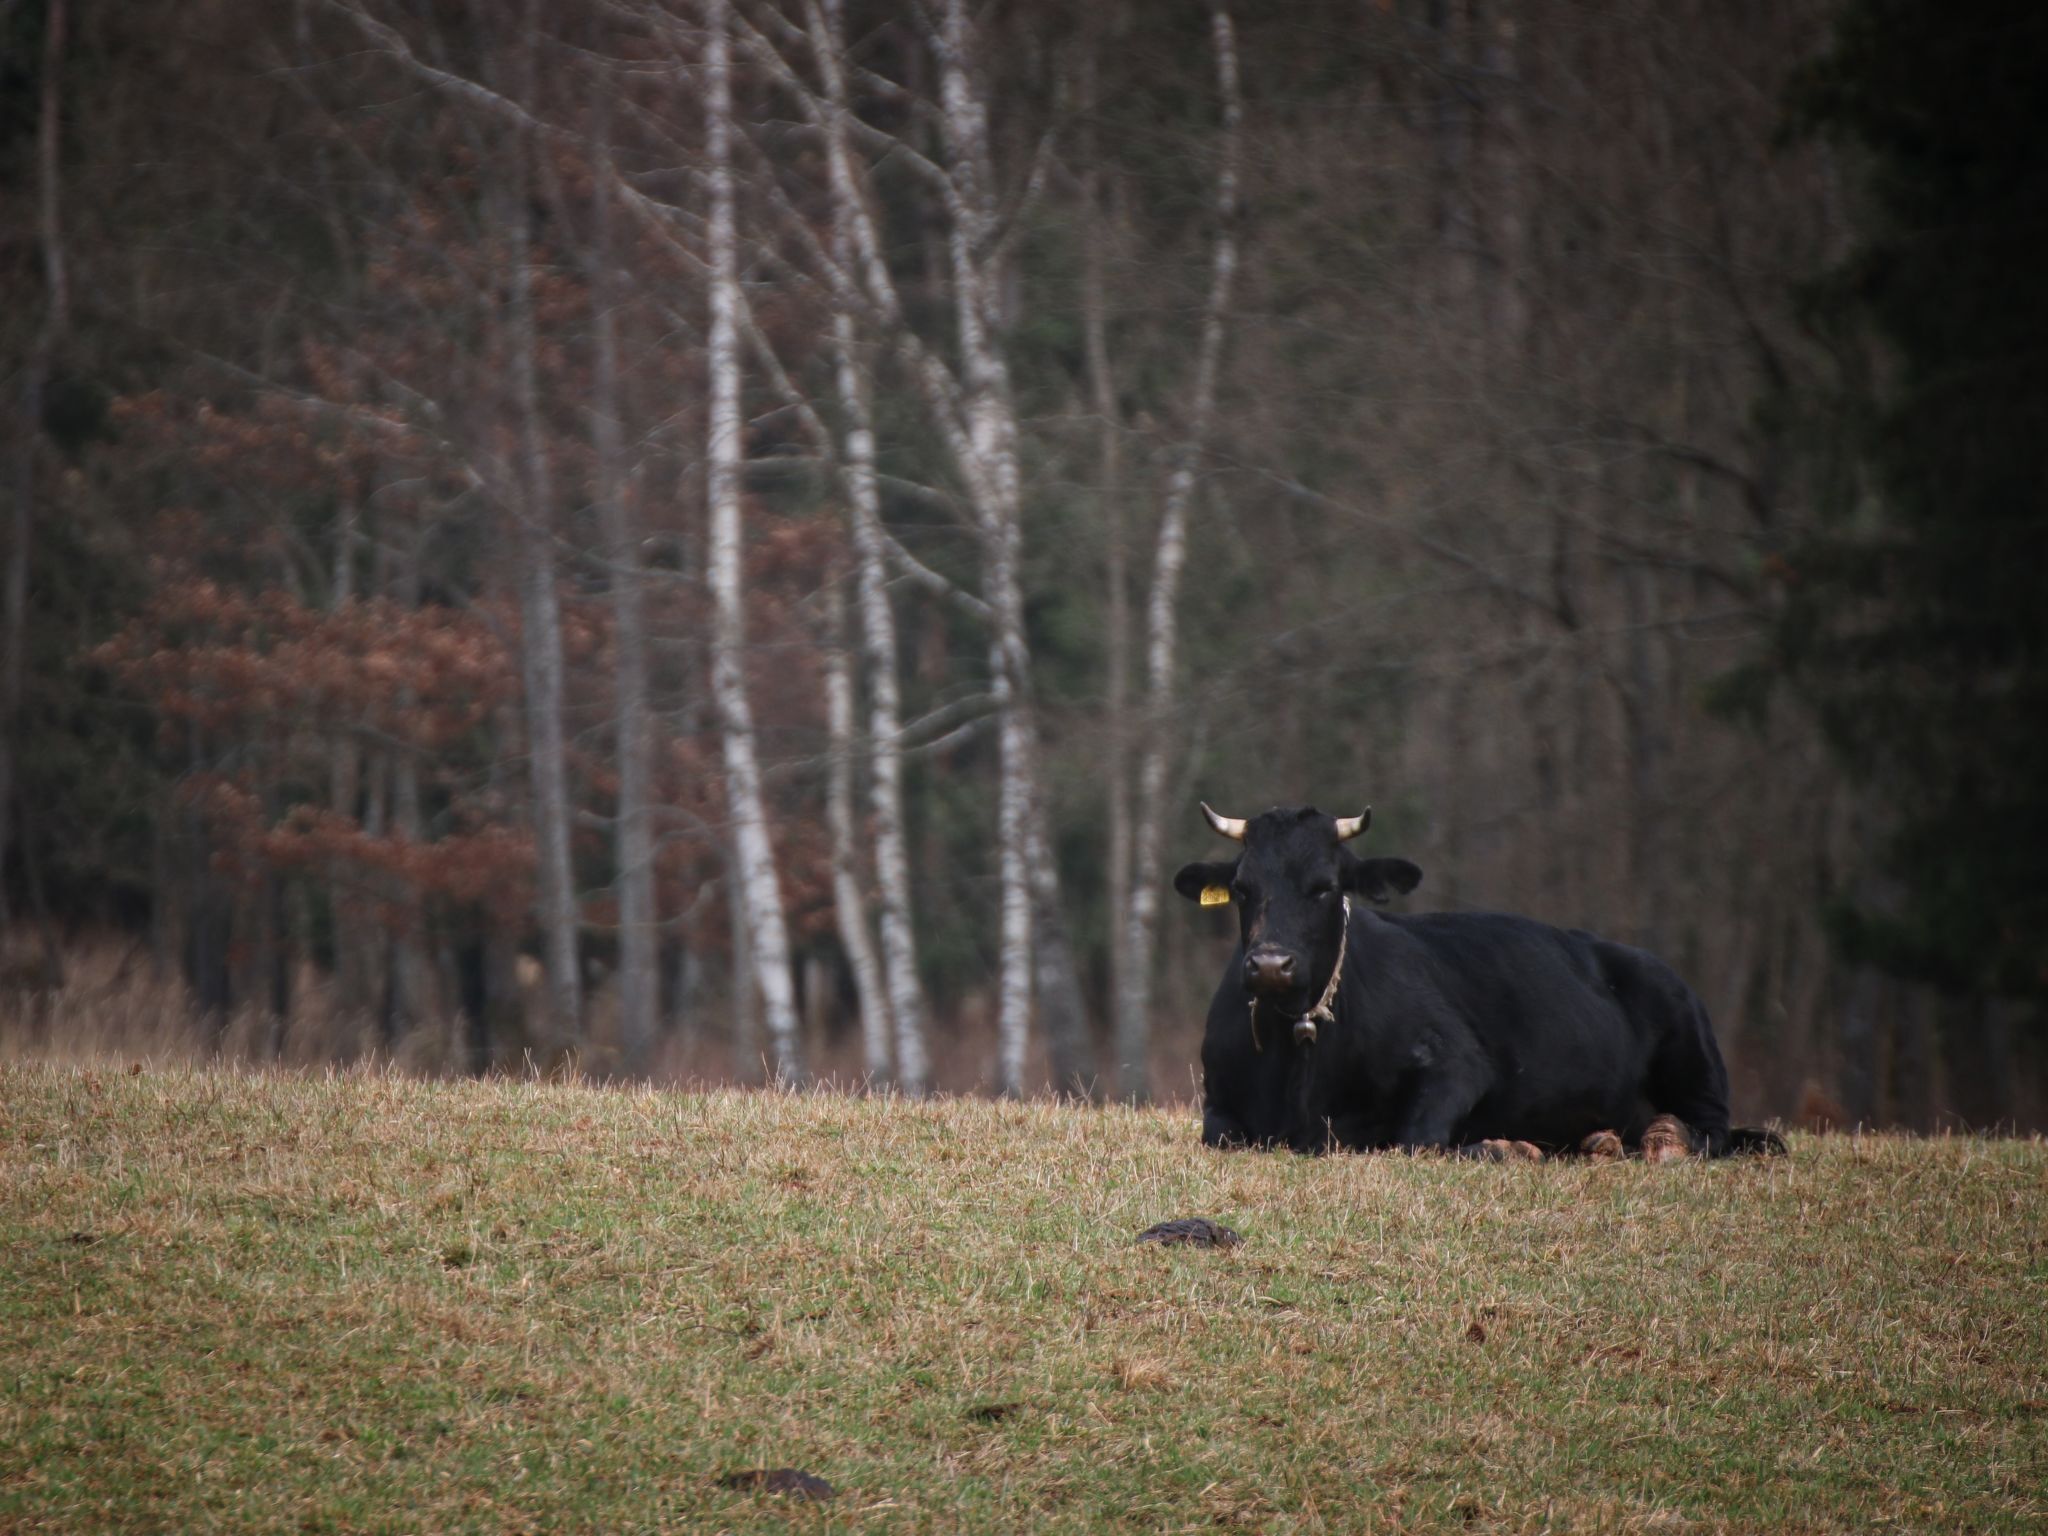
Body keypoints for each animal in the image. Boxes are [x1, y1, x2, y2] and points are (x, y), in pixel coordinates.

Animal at [1175, 802, 1784, 1158]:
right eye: (1243, 887)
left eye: (1325, 886)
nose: (1270, 965)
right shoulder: (1219, 1098)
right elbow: (1221, 1135)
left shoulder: (1458, 1062)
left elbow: (1416, 1140)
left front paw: (1503, 1147)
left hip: (1694, 1049)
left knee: (1715, 1129)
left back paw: (1663, 1138)